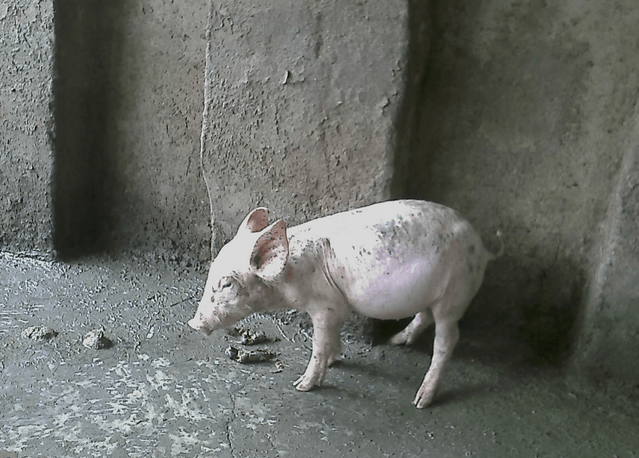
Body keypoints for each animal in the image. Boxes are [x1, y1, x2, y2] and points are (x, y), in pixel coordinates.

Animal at [188, 200, 502, 408]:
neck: (290, 278)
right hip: (434, 293)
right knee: (424, 316)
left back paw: (421, 400)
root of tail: (482, 248)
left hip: (455, 293)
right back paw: (397, 341)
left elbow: (319, 342)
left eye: (227, 284)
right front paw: (336, 359)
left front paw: (302, 385)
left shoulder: (325, 304)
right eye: (212, 270)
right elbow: (332, 335)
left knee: (448, 339)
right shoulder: (336, 304)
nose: (193, 323)